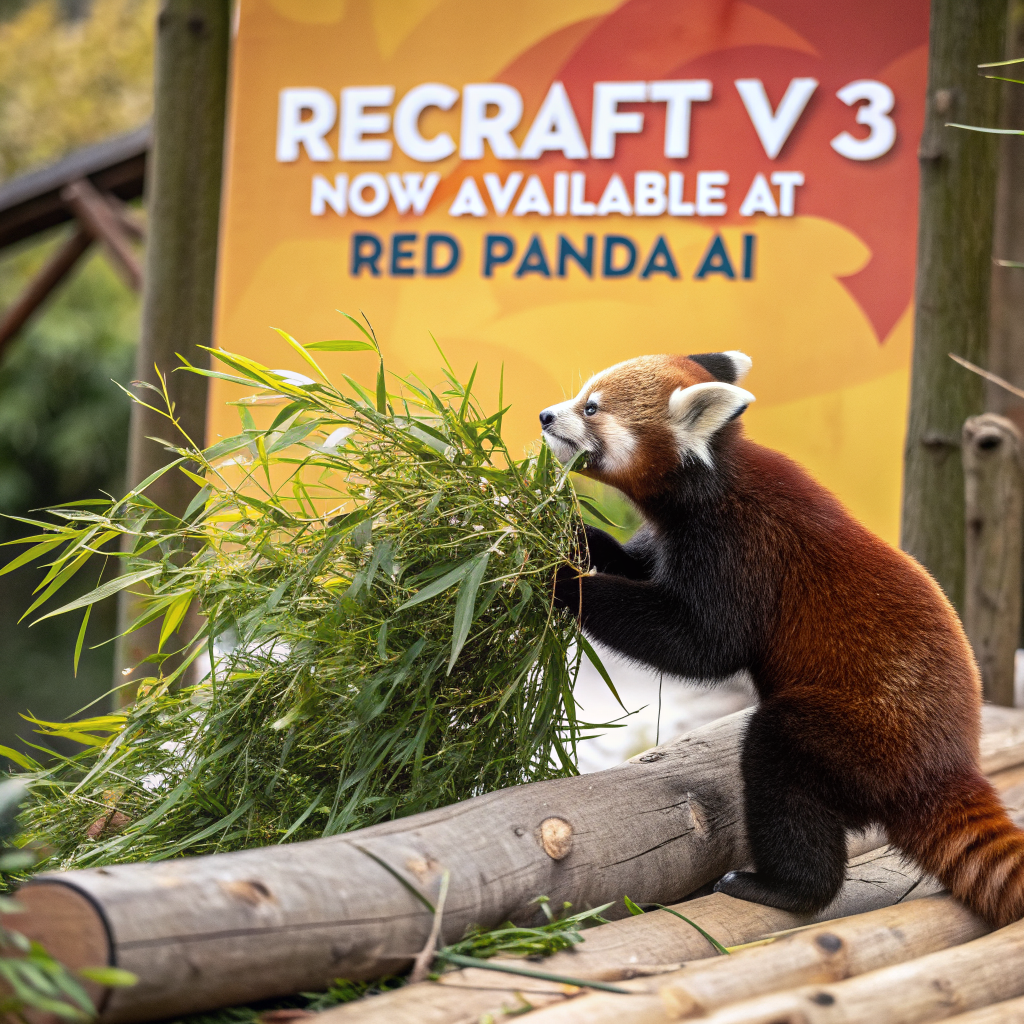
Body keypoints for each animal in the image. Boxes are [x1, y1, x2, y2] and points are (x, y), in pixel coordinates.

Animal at [540, 351, 1024, 926]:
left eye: (590, 408)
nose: (546, 415)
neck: (711, 480)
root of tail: (953, 767)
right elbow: (634, 563)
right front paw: (564, 535)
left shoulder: (743, 547)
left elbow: (702, 646)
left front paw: (564, 582)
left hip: (860, 736)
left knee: (779, 762)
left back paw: (783, 887)